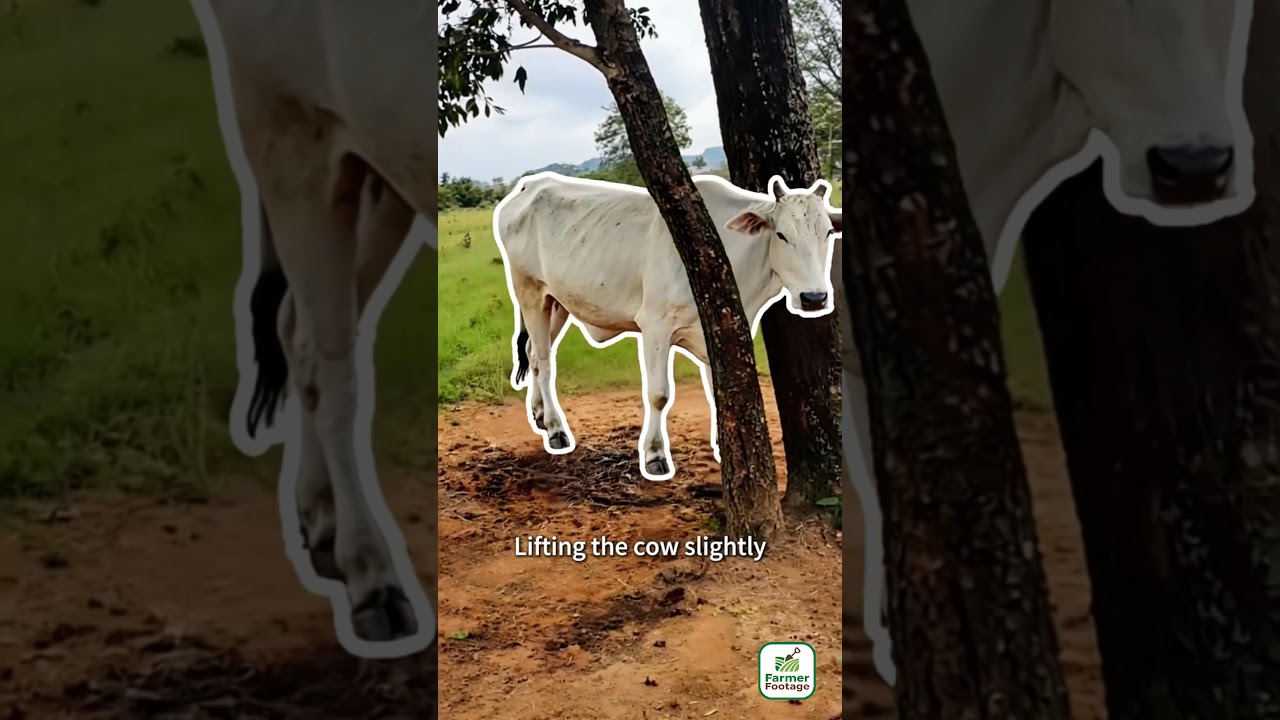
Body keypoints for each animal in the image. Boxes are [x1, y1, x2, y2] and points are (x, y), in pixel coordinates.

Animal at [191, 0, 436, 657]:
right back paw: (370, 574)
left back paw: (319, 513)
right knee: (327, 364)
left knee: (295, 332)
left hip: (377, 168)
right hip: (290, 137)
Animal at [494, 172, 843, 481]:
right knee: (543, 362)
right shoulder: (655, 326)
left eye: (828, 233)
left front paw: (722, 446)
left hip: (557, 303)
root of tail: (528, 185)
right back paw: (555, 429)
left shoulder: (715, 333)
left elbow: (719, 391)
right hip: (530, 292)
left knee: (533, 353)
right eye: (782, 235)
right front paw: (655, 455)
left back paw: (539, 414)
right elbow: (659, 395)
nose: (814, 297)